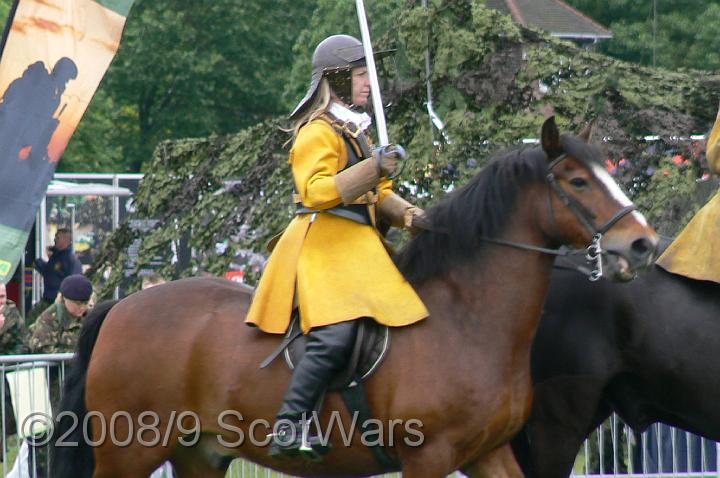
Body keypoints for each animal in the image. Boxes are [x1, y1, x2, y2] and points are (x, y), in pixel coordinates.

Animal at [50, 116, 660, 478]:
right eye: (578, 181)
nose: (643, 243)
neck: (467, 319)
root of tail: (121, 304)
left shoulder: (490, 454)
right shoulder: (428, 459)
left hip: (198, 454)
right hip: (131, 453)